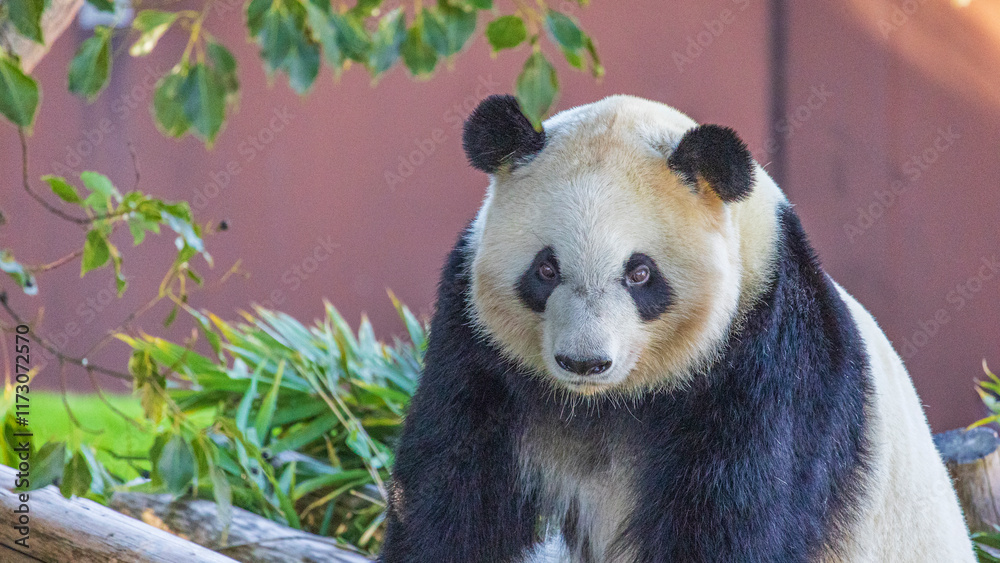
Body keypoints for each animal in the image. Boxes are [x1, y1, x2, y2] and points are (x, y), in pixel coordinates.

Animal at [380, 94, 975, 562]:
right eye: (545, 269)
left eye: (640, 273)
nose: (584, 362)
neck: (607, 403)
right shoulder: (477, 343)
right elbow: (453, 488)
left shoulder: (769, 354)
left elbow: (733, 515)